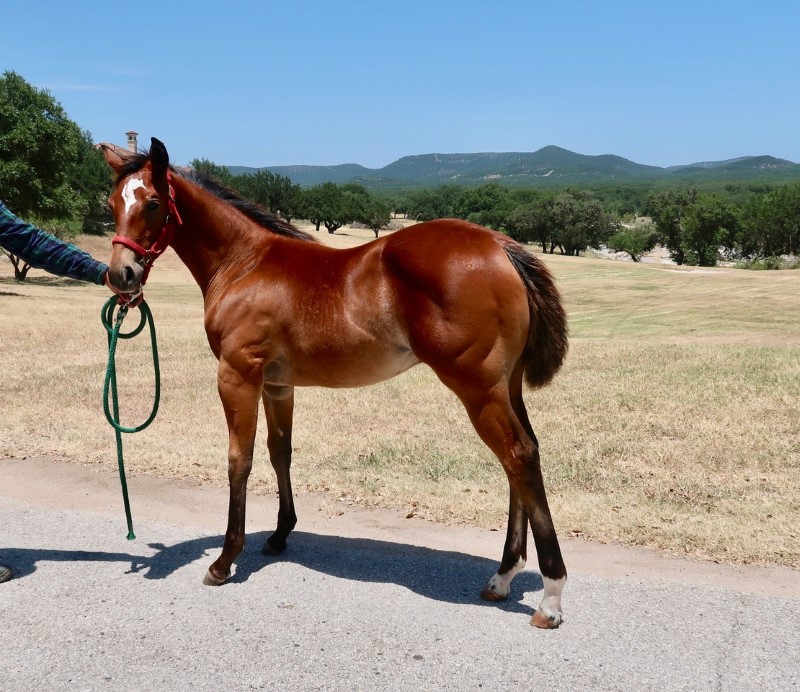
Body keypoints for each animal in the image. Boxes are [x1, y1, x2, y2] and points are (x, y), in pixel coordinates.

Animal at [101, 138, 568, 628]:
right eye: (112, 202)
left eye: (153, 202)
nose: (120, 275)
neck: (245, 264)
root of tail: (500, 244)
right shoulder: (277, 385)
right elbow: (280, 451)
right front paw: (280, 534)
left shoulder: (237, 376)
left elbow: (239, 460)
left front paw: (224, 560)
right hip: (505, 387)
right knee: (521, 460)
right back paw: (502, 578)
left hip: (478, 389)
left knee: (517, 456)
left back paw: (549, 598)